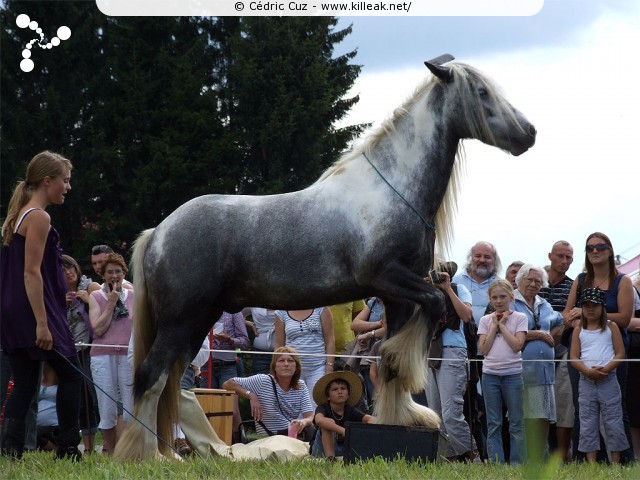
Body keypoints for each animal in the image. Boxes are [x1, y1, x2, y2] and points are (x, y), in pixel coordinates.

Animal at [114, 58, 536, 460]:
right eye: (481, 92)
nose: (528, 132)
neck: (392, 191)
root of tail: (159, 231)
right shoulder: (389, 277)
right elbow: (430, 308)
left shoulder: (397, 296)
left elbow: (391, 359)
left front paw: (399, 418)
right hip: (180, 320)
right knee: (151, 376)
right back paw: (148, 455)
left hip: (198, 319)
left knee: (170, 381)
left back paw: (166, 452)